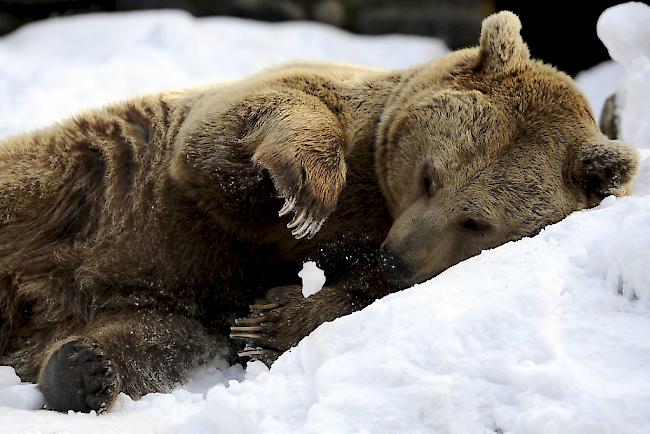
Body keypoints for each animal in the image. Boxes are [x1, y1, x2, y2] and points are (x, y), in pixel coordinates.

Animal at [0, 11, 636, 414]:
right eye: (430, 176)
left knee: (151, 341)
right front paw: (307, 197)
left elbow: (348, 299)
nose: (397, 259)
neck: (379, 199)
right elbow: (235, 138)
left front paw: (269, 323)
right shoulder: (226, 160)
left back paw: (82, 372)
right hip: (77, 179)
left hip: (152, 304)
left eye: (476, 221)